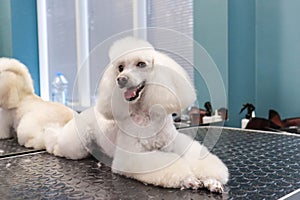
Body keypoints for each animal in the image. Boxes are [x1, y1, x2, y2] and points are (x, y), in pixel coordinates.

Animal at [44, 36, 227, 193]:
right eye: (120, 67)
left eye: (141, 64)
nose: (121, 79)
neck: (147, 117)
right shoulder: (131, 157)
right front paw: (188, 178)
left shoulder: (174, 144)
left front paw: (211, 179)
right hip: (76, 144)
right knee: (59, 146)